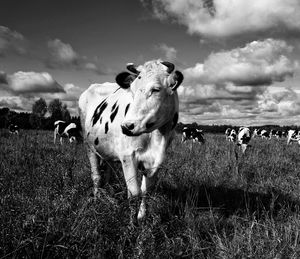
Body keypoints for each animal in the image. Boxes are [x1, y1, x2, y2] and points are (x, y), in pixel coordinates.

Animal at [78, 60, 184, 220]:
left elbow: (146, 191)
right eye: (132, 90)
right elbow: (134, 193)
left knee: (107, 173)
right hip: (88, 145)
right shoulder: (128, 156)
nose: (126, 126)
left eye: (156, 89)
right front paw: (131, 222)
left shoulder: (155, 162)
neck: (158, 137)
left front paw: (141, 216)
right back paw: (97, 200)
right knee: (96, 176)